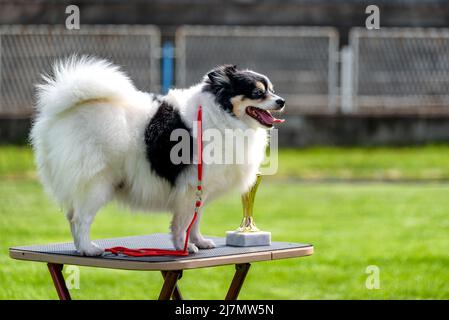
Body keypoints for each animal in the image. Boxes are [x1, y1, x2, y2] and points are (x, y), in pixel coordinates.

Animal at [30, 55, 284, 255]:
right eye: (257, 93)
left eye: (272, 90)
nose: (281, 101)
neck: (221, 115)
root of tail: (62, 111)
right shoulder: (190, 187)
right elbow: (183, 222)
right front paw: (183, 247)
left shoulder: (201, 187)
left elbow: (196, 220)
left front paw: (199, 242)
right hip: (97, 182)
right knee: (80, 219)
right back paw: (88, 249)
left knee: (73, 217)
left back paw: (80, 248)